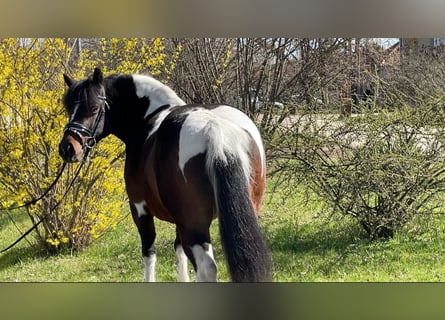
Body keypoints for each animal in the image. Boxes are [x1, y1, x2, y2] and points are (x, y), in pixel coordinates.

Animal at [58, 67, 270, 282]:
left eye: (94, 108)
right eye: (68, 108)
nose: (67, 148)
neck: (148, 118)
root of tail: (215, 128)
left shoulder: (140, 209)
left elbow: (149, 252)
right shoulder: (178, 220)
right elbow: (178, 250)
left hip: (193, 226)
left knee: (206, 268)